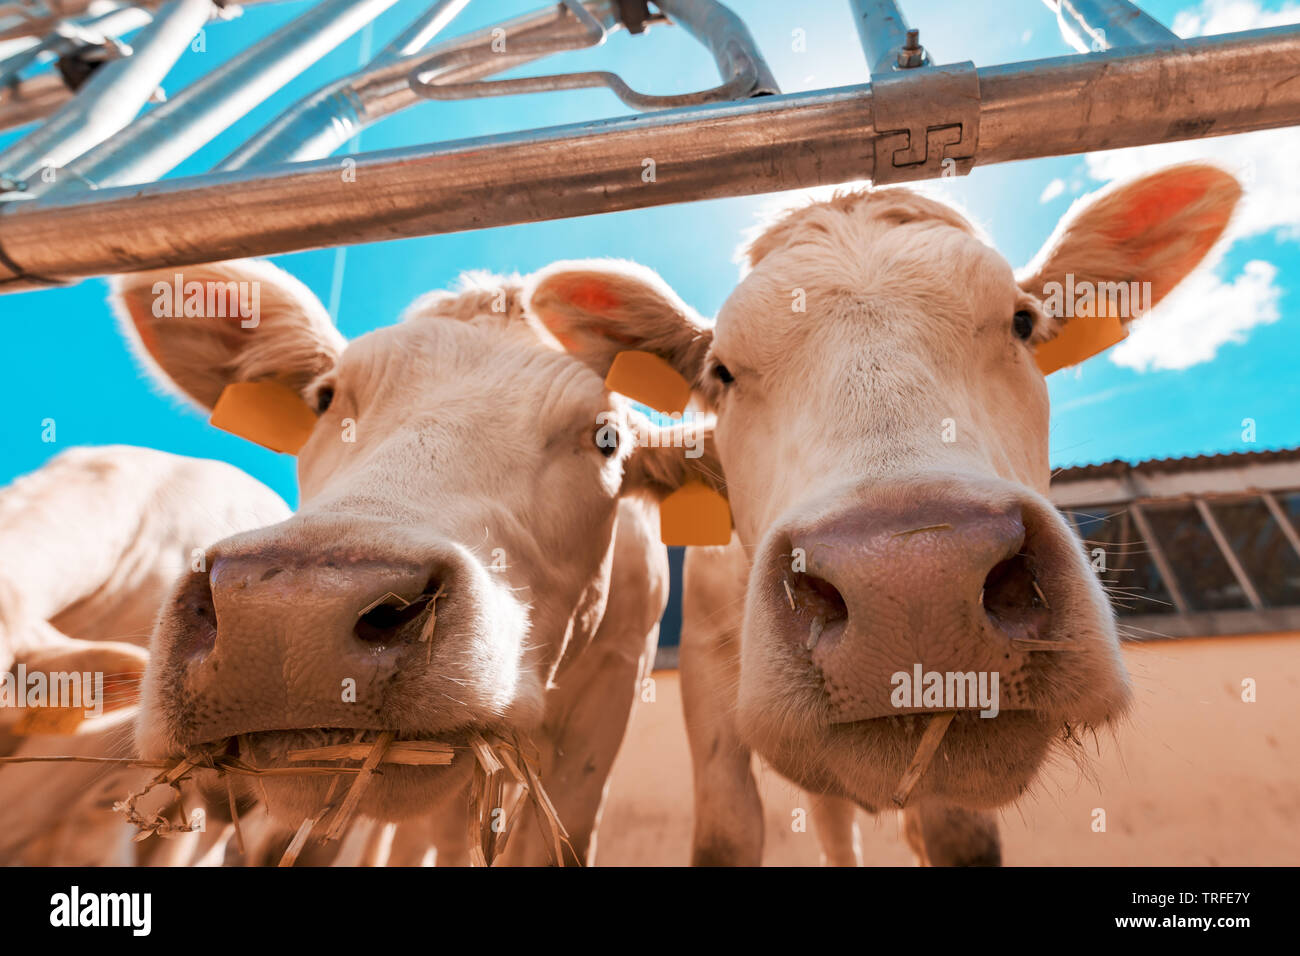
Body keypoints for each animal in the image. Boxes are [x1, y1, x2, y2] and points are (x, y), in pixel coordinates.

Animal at [504, 164, 1237, 868]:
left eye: (1023, 322)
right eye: (721, 373)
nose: (915, 584)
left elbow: (959, 840)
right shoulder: (708, 672)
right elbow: (727, 833)